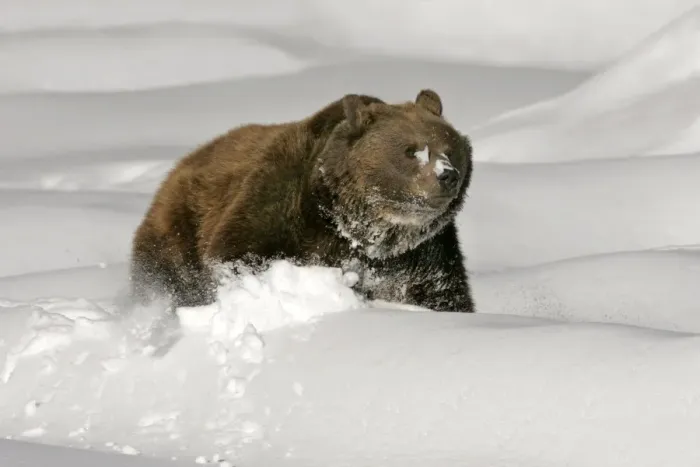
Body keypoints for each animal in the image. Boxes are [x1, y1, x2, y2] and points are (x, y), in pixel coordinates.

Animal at [129, 89, 475, 313]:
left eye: (450, 147)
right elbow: (239, 256)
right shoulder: (278, 210)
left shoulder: (421, 257)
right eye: (411, 150)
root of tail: (179, 165)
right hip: (179, 233)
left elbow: (442, 295)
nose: (447, 175)